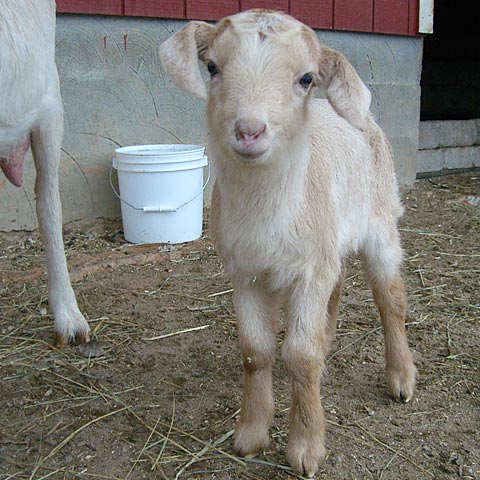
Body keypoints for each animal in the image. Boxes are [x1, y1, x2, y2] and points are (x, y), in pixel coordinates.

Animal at [160, 9, 416, 478]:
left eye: (306, 78)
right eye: (213, 67)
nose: (249, 131)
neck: (266, 209)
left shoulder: (310, 271)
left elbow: (299, 354)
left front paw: (306, 446)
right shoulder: (244, 271)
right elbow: (256, 351)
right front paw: (249, 433)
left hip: (382, 222)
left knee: (390, 299)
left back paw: (401, 377)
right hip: (330, 244)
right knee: (339, 287)